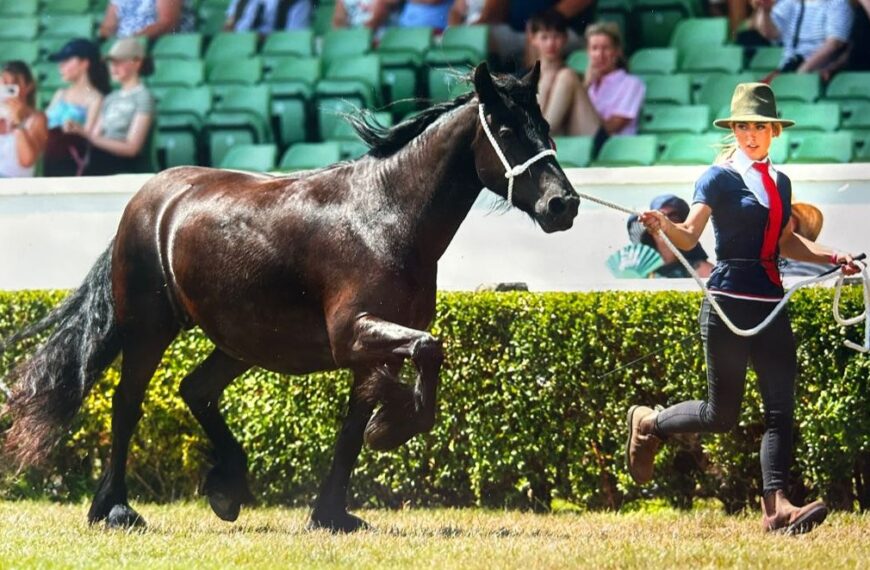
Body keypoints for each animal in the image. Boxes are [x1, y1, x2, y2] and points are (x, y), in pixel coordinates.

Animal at [0, 62, 579, 532]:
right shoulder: (353, 334)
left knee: (195, 389)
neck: (386, 218)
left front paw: (332, 513)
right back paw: (115, 508)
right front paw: (390, 429)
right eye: (506, 130)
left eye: (547, 127)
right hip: (148, 327)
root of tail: (148, 197)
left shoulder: (375, 346)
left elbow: (356, 421)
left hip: (239, 341)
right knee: (127, 404)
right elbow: (426, 352)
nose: (563, 205)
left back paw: (226, 488)